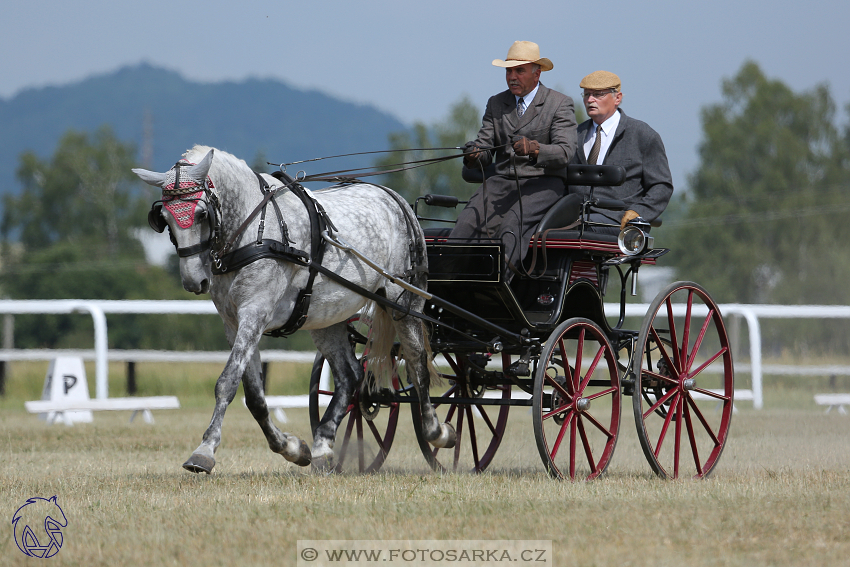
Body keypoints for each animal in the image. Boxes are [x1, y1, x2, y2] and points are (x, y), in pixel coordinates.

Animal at [132, 146, 454, 474]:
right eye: (164, 218)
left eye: (201, 214)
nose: (193, 281)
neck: (254, 230)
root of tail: (394, 198)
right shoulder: (236, 324)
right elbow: (254, 396)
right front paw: (292, 448)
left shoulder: (255, 313)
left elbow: (227, 382)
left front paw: (204, 450)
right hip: (328, 317)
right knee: (350, 375)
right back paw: (323, 444)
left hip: (404, 300)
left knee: (417, 361)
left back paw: (435, 431)